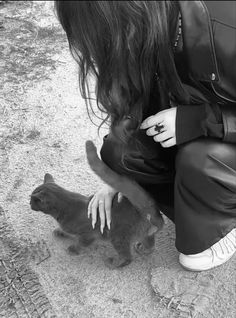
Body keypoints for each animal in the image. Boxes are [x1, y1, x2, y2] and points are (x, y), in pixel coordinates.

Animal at [29, 140, 163, 268]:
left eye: (32, 201)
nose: (29, 203)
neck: (66, 207)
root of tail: (145, 209)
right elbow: (67, 231)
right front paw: (60, 231)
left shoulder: (88, 235)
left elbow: (81, 243)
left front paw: (73, 249)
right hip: (143, 234)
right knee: (151, 244)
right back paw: (143, 249)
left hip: (117, 237)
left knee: (127, 258)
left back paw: (112, 263)